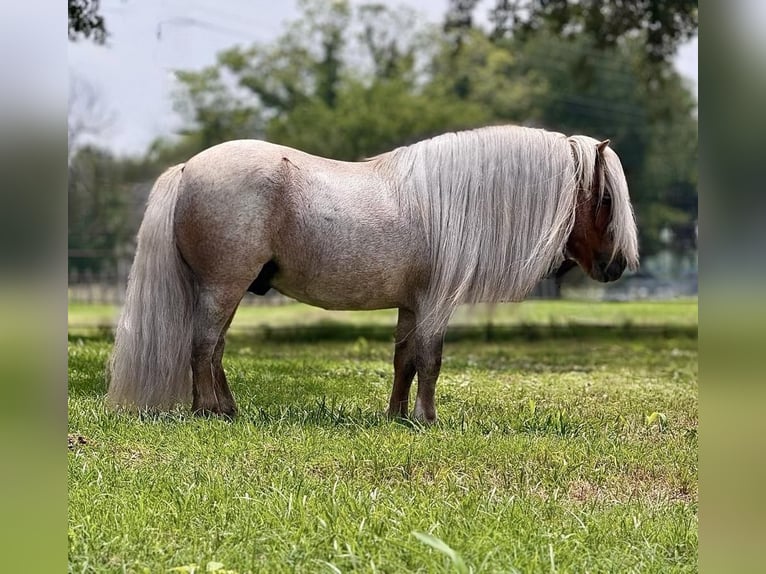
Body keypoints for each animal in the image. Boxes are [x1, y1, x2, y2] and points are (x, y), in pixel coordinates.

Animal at [106, 125, 636, 424]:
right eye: (607, 198)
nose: (616, 267)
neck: (446, 203)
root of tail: (185, 170)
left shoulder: (411, 304)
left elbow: (404, 360)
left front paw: (396, 415)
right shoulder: (435, 304)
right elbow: (430, 360)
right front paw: (426, 419)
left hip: (228, 291)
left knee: (214, 348)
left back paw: (228, 410)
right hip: (223, 287)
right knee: (202, 346)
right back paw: (206, 413)